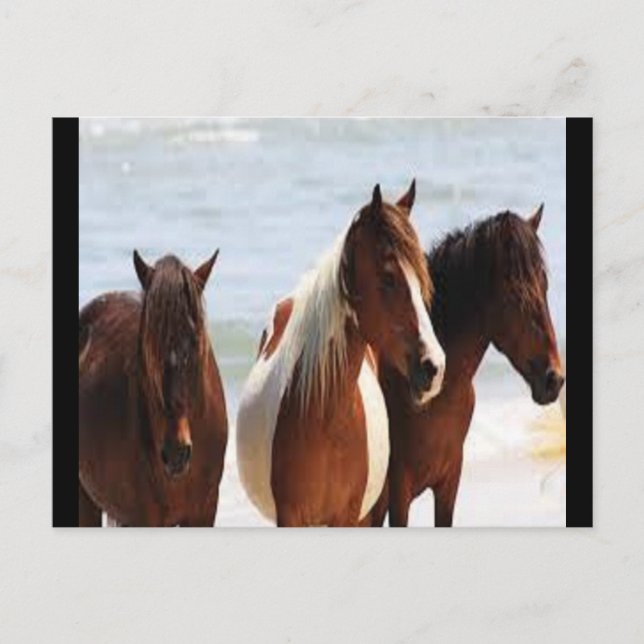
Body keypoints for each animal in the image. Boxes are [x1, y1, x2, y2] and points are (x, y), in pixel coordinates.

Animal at [236, 182, 446, 527]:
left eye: (421, 280)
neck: (325, 419)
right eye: (389, 277)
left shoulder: (348, 516)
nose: (434, 367)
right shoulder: (289, 517)